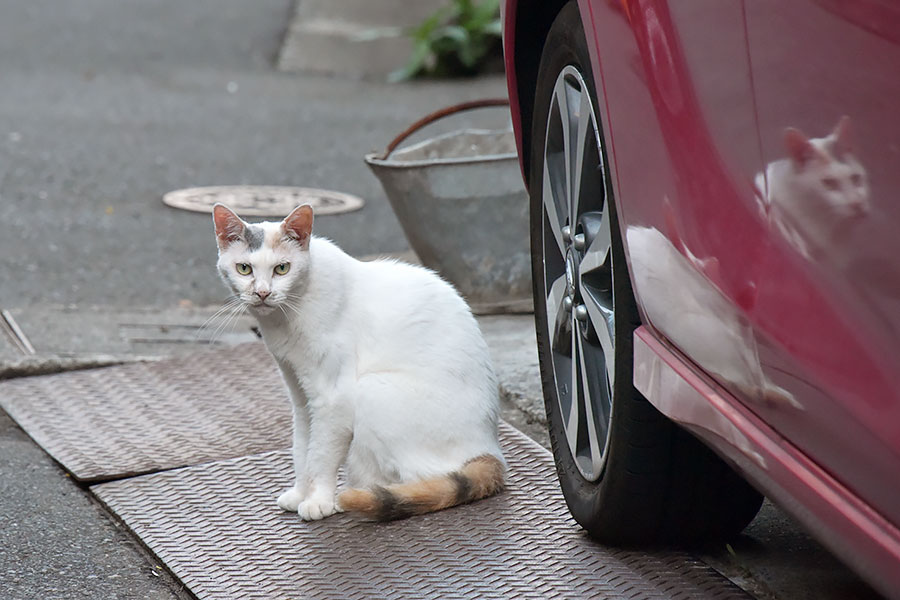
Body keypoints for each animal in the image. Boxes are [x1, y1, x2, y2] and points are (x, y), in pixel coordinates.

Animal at [213, 203, 506, 520]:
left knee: (414, 479)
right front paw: (301, 492)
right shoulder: (301, 396)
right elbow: (303, 449)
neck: (287, 315)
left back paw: (355, 497)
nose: (263, 293)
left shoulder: (334, 399)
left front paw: (318, 500)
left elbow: (321, 456)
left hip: (371, 390)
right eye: (244, 268)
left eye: (282, 268)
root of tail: (488, 449)